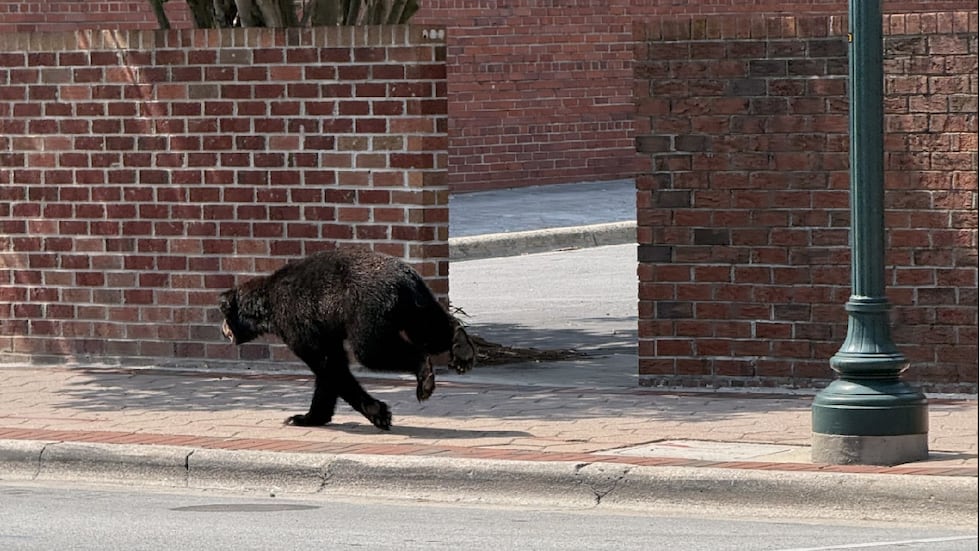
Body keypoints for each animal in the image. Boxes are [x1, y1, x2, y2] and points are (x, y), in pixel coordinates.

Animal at [217, 248, 476, 430]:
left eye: (224, 315)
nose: (222, 330)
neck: (268, 306)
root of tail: (405, 280)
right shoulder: (324, 328)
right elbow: (331, 362)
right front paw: (304, 417)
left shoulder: (296, 321)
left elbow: (326, 364)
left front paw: (378, 412)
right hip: (416, 305)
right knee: (429, 329)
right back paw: (462, 347)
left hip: (366, 309)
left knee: (372, 351)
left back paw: (424, 377)